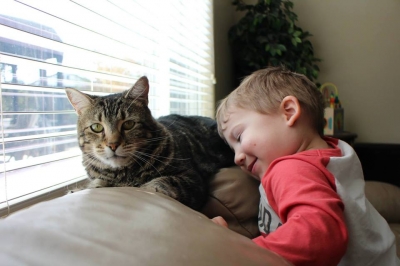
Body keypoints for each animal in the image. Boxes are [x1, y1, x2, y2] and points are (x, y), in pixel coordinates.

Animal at [65, 76, 234, 210]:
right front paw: (83, 188)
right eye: (97, 127)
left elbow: (161, 182)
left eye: (128, 124)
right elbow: (97, 182)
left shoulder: (192, 179)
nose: (113, 145)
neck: (124, 175)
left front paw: (146, 187)